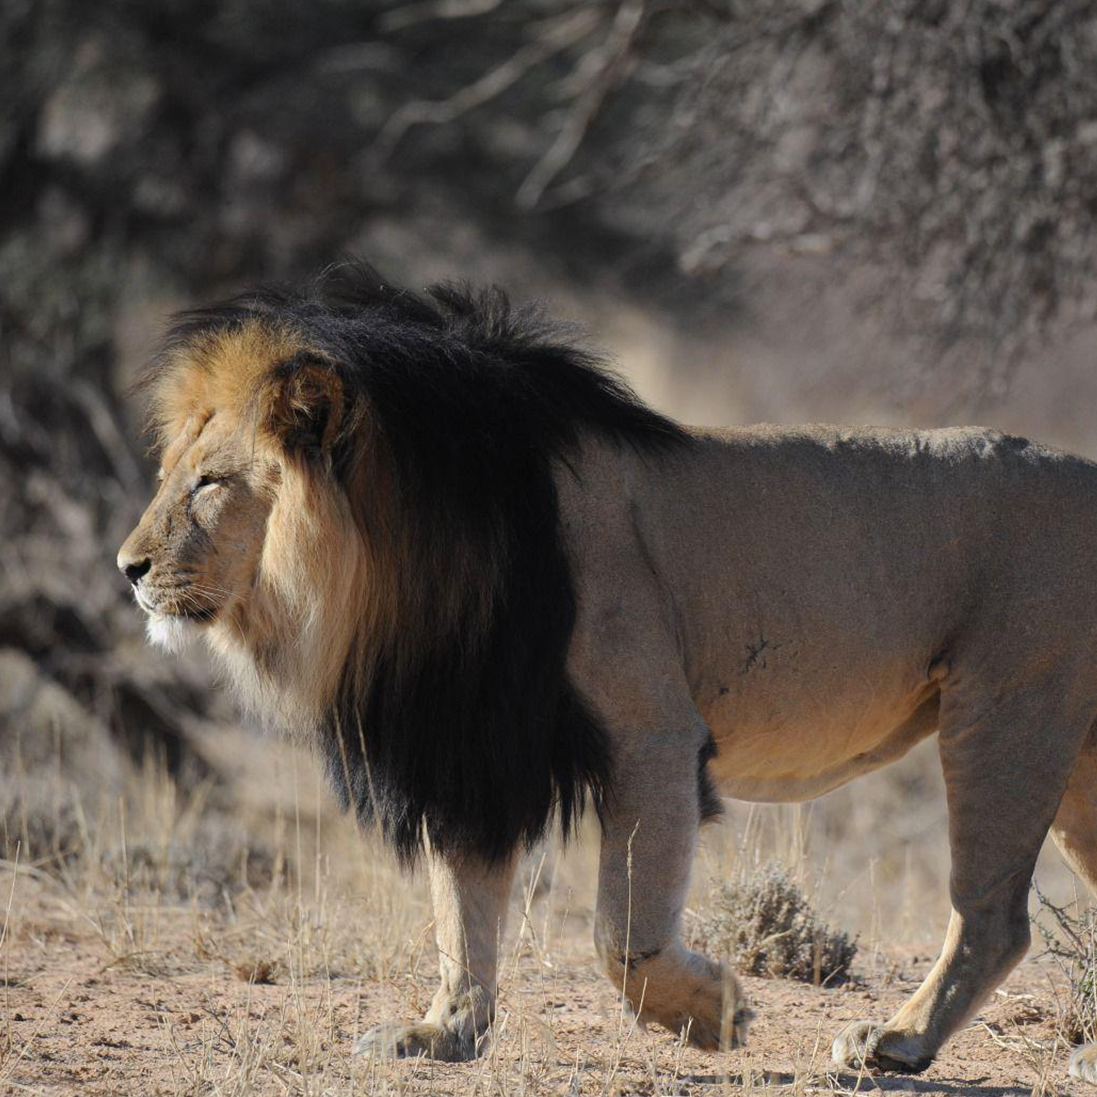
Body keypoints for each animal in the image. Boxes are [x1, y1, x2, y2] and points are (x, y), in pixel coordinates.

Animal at [118, 261, 1097, 1080]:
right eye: (172, 474)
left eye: (210, 483)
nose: (127, 567)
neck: (413, 564)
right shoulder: (472, 740)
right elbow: (460, 913)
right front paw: (443, 1031)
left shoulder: (649, 734)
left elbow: (619, 932)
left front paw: (713, 1013)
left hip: (1006, 712)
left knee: (991, 914)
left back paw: (894, 1041)